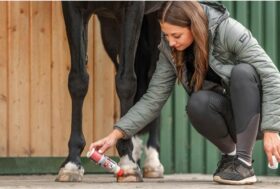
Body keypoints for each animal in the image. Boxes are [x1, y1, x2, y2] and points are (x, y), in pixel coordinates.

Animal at [55, 1, 164, 182]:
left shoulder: (133, 9)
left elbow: (126, 83)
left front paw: (128, 163)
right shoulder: (74, 8)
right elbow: (78, 80)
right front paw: (72, 164)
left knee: (153, 79)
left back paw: (152, 162)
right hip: (111, 27)